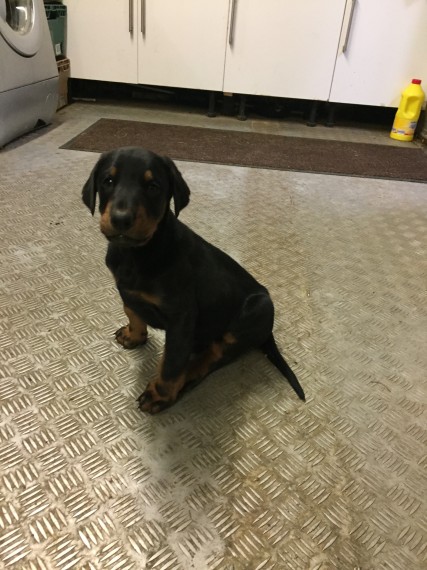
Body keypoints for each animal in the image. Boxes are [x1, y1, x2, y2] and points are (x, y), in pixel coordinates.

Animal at [82, 147, 305, 413]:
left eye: (153, 187)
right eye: (108, 181)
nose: (121, 219)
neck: (139, 253)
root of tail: (268, 331)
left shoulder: (181, 316)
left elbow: (172, 361)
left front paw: (160, 395)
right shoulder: (126, 291)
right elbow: (132, 311)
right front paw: (133, 335)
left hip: (256, 309)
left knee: (213, 355)